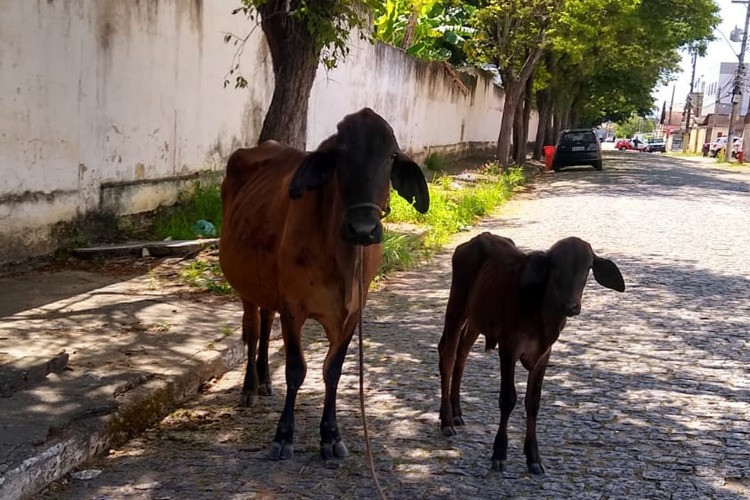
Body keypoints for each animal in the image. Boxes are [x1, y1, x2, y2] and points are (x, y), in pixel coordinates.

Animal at [217, 108, 428, 460]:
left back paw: (265, 381)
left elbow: (333, 371)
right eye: (340, 155)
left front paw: (330, 436)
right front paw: (283, 436)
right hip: (245, 286)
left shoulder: (352, 313)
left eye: (390, 157)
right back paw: (250, 387)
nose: (363, 228)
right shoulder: (293, 307)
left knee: (265, 322)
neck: (341, 256)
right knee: (253, 328)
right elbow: (295, 370)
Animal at [438, 232, 624, 474]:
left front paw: (534, 457)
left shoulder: (544, 354)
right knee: (448, 355)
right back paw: (446, 421)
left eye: (587, 267)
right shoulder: (509, 346)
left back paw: (457, 412)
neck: (543, 315)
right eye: (555, 265)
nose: (570, 306)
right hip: (456, 306)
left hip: (477, 319)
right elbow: (508, 399)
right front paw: (499, 453)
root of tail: (476, 239)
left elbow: (533, 402)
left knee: (462, 352)